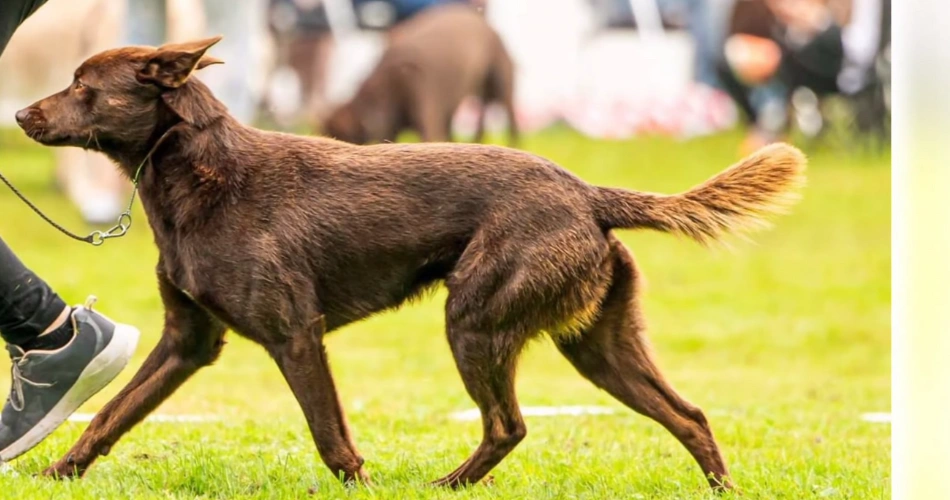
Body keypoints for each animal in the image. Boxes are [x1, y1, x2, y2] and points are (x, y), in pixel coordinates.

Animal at [14, 37, 804, 490]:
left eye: (83, 86)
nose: (21, 114)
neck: (201, 174)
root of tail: (588, 193)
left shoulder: (294, 334)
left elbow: (330, 436)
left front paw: (357, 483)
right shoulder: (189, 341)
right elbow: (110, 414)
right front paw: (56, 472)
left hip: (476, 318)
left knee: (509, 425)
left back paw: (449, 483)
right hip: (596, 343)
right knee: (689, 414)